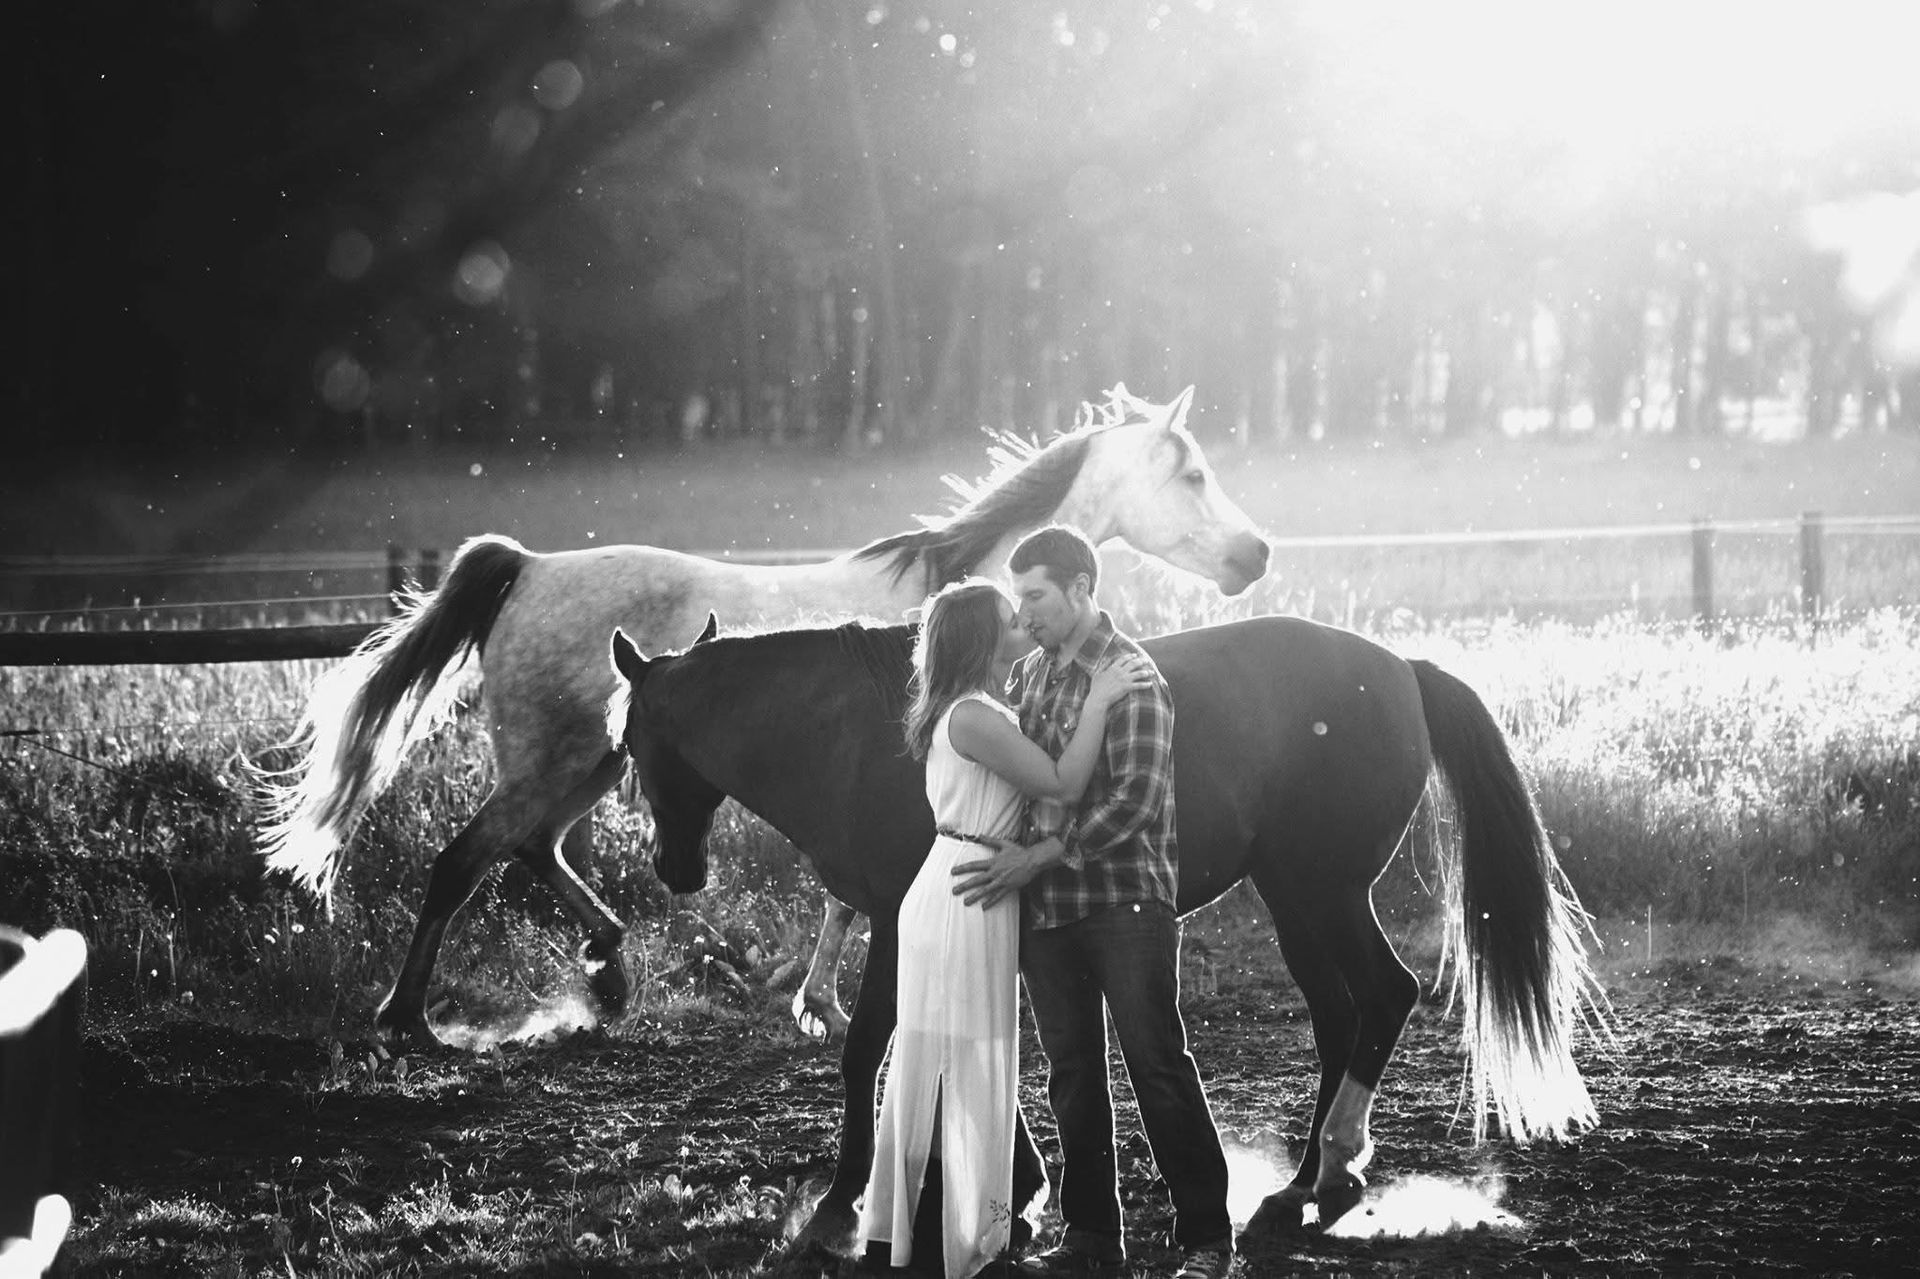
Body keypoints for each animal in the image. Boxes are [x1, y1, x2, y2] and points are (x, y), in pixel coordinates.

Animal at [258, 385, 1271, 1047]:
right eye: (1192, 473)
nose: (1256, 555)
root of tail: (529, 566)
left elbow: (841, 897)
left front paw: (814, 996)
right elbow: (847, 897)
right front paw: (819, 1001)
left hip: (594, 761)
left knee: (532, 847)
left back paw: (608, 967)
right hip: (553, 761)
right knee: (464, 861)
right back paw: (406, 1020)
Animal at [606, 614, 1604, 1255]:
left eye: (628, 739)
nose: (674, 867)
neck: (855, 731)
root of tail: (1399, 668)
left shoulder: (896, 916)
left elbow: (867, 1049)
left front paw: (844, 1206)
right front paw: (1022, 1190)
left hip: (1318, 890)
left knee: (1384, 996)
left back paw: (1324, 1173)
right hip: (1297, 898)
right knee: (1340, 1013)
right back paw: (1308, 1183)